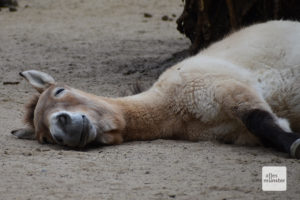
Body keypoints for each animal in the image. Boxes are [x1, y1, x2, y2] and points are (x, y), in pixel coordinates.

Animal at [12, 20, 300, 158]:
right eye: (45, 139)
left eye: (59, 91)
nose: (61, 129)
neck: (175, 107)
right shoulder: (238, 131)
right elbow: (266, 129)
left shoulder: (231, 90)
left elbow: (260, 120)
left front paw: (296, 145)